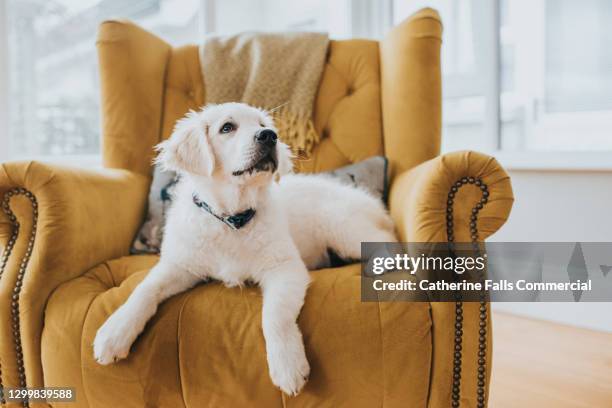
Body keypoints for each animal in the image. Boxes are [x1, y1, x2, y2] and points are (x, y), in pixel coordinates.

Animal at [92, 102, 396, 396]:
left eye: (263, 125)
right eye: (227, 127)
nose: (269, 136)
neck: (231, 219)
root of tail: (368, 200)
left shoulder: (285, 267)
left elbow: (273, 316)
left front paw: (288, 366)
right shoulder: (180, 264)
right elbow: (144, 289)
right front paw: (114, 332)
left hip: (341, 225)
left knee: (386, 239)